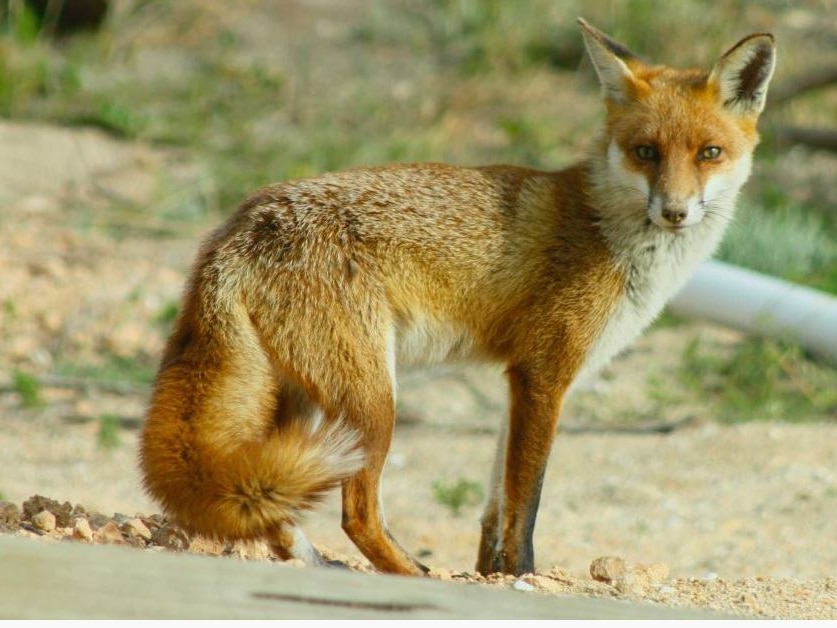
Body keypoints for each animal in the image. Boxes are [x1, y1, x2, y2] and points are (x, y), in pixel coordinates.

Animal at [140, 18, 772, 580]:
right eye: (645, 152)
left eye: (709, 153)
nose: (674, 211)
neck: (607, 231)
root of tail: (239, 225)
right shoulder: (545, 375)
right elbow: (526, 503)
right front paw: (521, 577)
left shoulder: (519, 381)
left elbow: (497, 505)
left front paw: (491, 572)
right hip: (372, 400)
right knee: (356, 513)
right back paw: (408, 574)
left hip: (304, 402)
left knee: (270, 503)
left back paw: (315, 563)